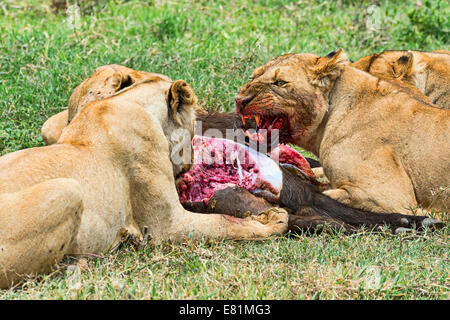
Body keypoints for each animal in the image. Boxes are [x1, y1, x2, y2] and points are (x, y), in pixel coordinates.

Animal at [0, 74, 286, 288]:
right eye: (194, 124)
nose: (191, 160)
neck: (125, 103)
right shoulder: (166, 225)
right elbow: (224, 224)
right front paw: (273, 220)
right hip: (68, 190)